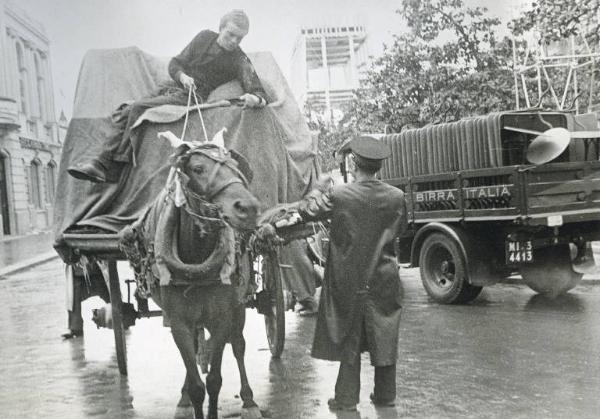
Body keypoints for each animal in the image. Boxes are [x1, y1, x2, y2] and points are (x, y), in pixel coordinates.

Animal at [120, 133, 262, 419]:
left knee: (238, 345)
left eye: (237, 167)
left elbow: (215, 379)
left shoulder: (222, 317)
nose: (249, 208)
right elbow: (197, 383)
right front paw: (190, 395)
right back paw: (184, 397)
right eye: (197, 168)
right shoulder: (178, 322)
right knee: (196, 354)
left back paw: (249, 399)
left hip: (239, 306)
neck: (198, 264)